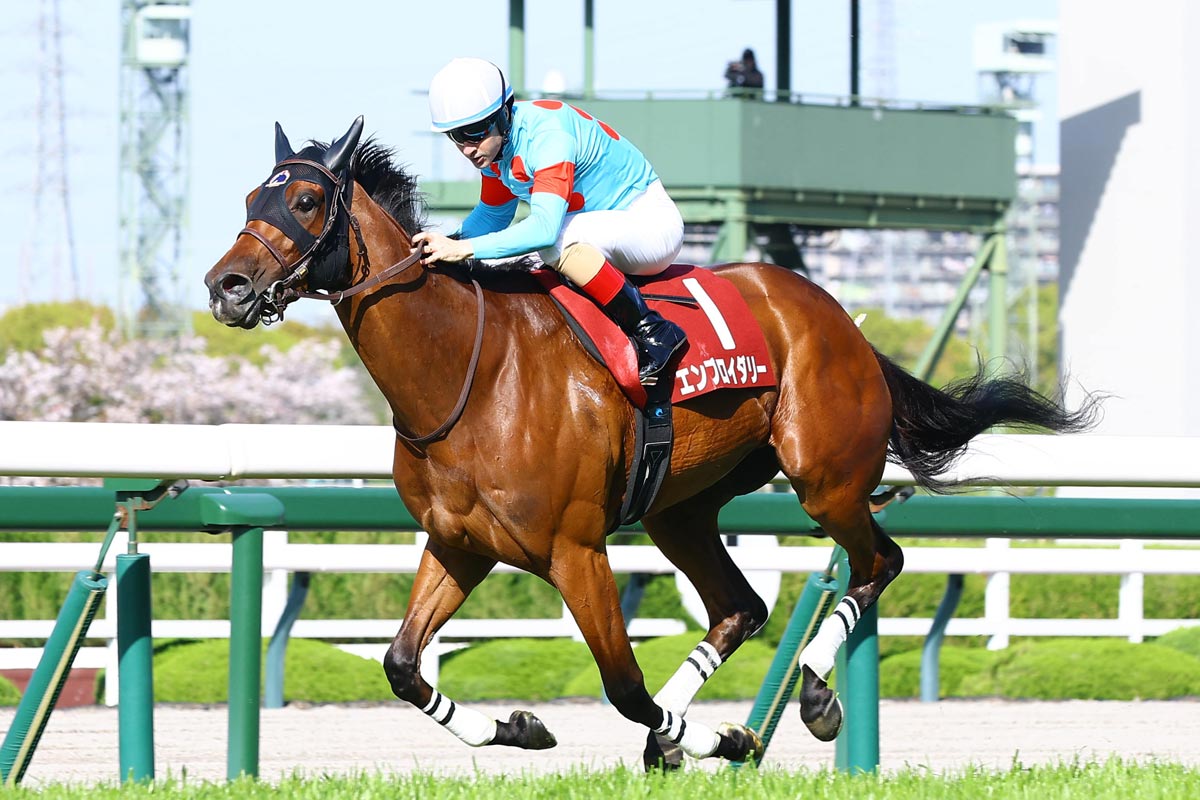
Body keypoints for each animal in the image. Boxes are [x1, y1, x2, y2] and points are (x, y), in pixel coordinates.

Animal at [205, 117, 1096, 768]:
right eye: (252, 194)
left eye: (308, 201)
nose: (227, 286)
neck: (471, 371)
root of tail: (839, 318)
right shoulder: (458, 543)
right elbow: (399, 665)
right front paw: (523, 729)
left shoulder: (575, 549)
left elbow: (625, 686)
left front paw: (717, 738)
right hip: (682, 509)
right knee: (741, 607)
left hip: (825, 478)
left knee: (879, 560)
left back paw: (811, 695)